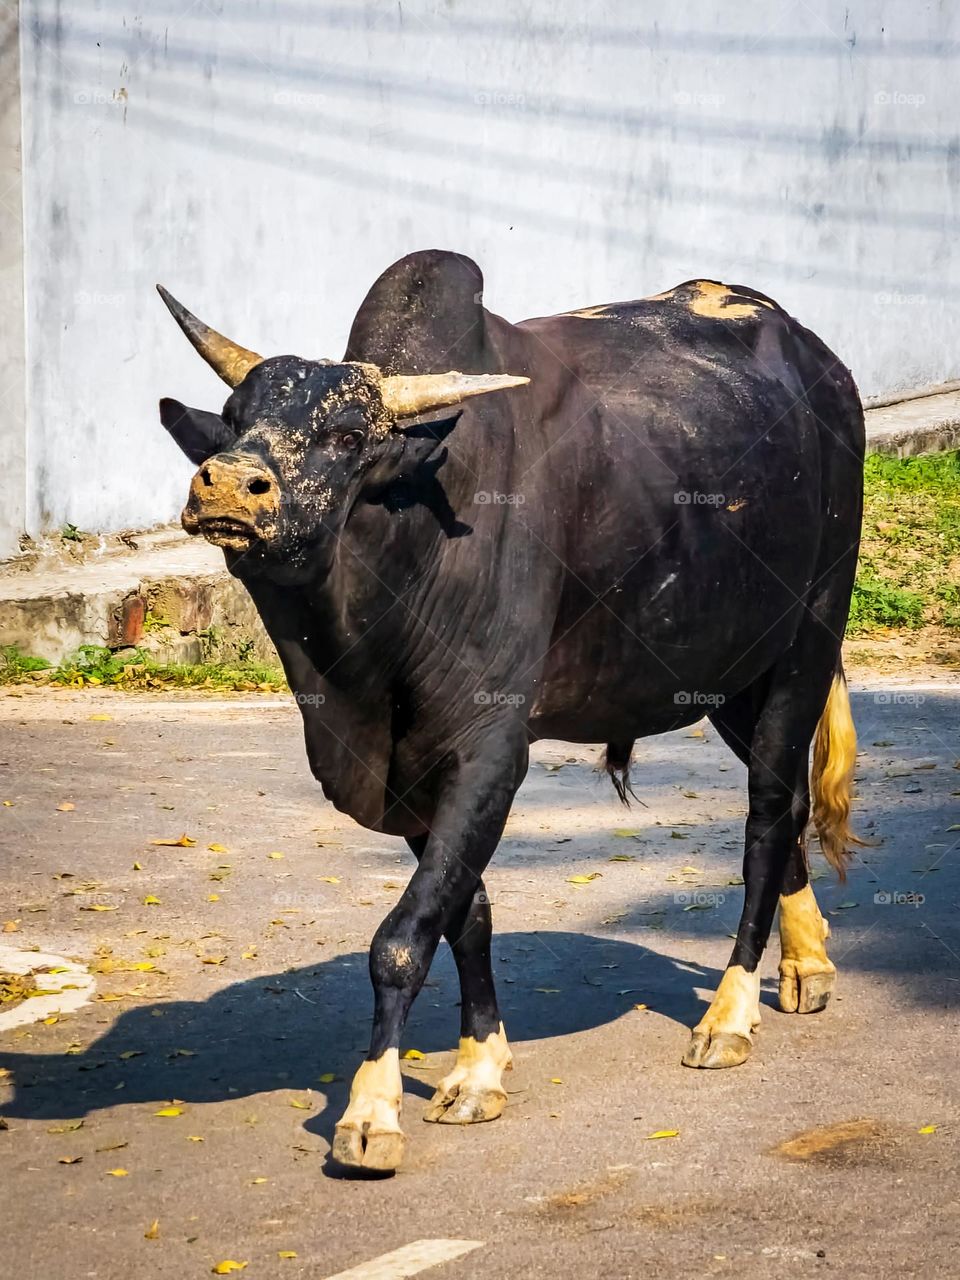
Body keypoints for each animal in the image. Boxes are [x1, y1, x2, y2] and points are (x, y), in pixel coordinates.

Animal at [156, 250, 863, 1173]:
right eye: (236, 421)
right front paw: (480, 1069)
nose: (228, 487)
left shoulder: (489, 749)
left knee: (769, 815)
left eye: (347, 436)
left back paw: (729, 1014)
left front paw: (373, 1110)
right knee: (791, 805)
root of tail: (823, 366)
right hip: (731, 671)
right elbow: (467, 915)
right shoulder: (415, 775)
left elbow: (402, 937)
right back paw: (806, 965)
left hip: (807, 641)